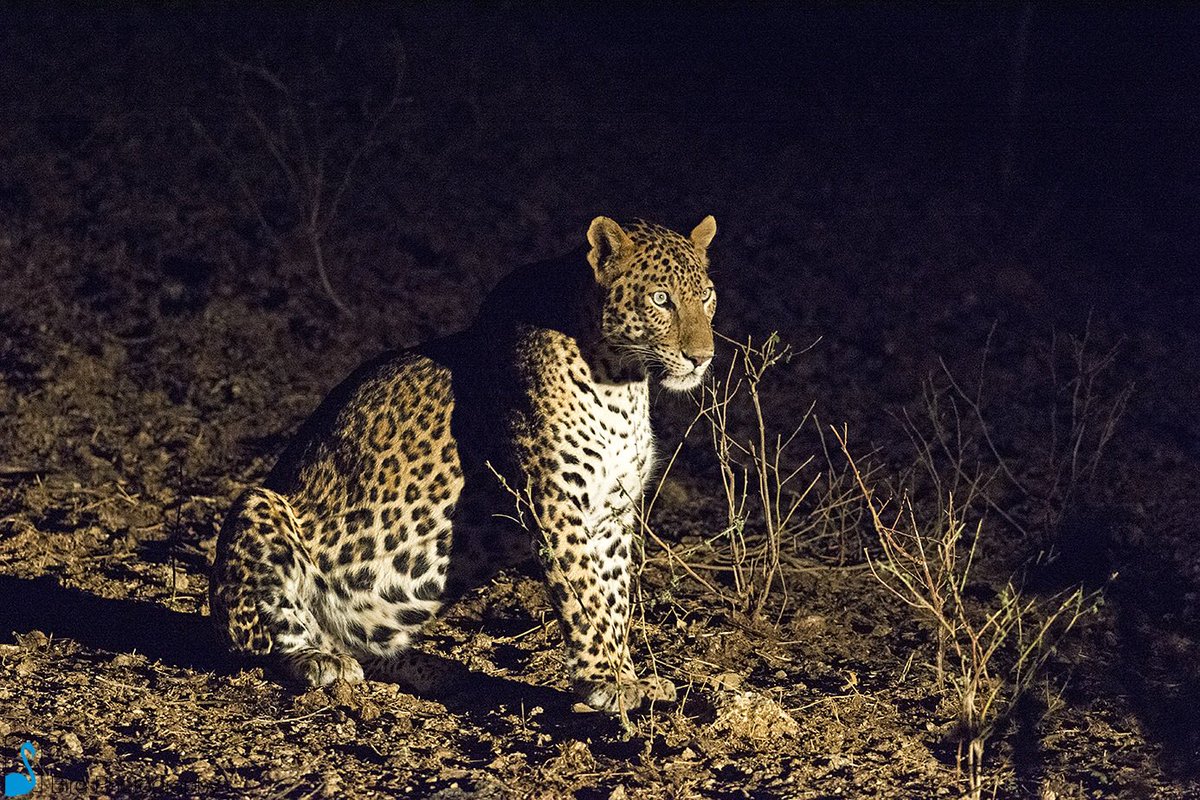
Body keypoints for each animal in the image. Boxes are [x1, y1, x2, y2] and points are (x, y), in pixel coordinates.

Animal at [210, 214, 715, 714]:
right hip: (257, 508)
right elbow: (586, 594)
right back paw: (319, 659)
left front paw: (630, 676)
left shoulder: (613, 512)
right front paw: (605, 681)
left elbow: (615, 599)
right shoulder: (555, 502)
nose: (702, 357)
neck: (622, 383)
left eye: (707, 296)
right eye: (661, 299)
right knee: (267, 639)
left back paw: (434, 669)